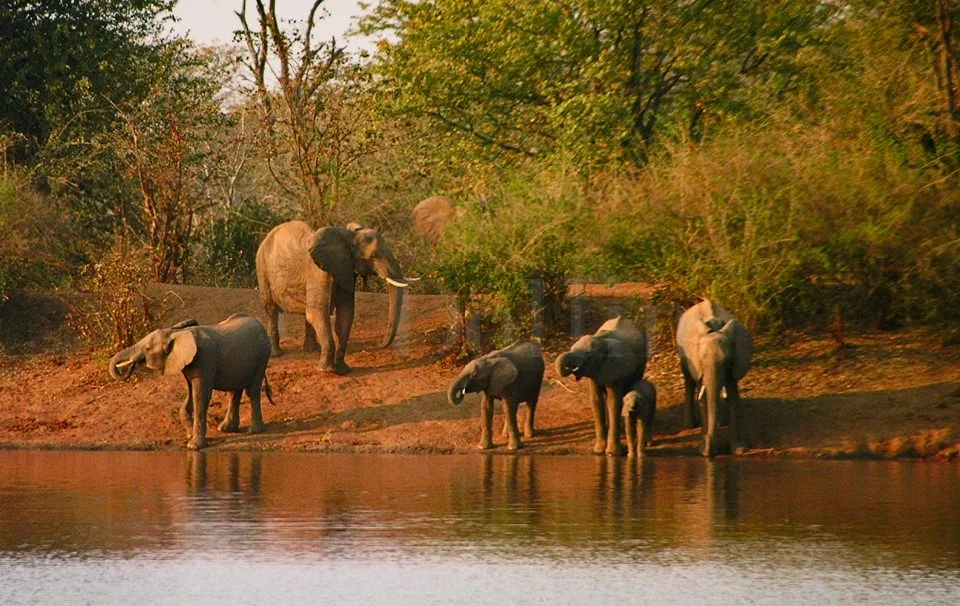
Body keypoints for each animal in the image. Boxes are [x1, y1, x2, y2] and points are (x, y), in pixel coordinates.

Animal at [108, 313, 274, 450]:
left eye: (148, 348)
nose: (130, 366)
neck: (176, 333)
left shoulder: (204, 359)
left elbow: (200, 396)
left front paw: (194, 446)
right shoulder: (189, 364)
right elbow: (190, 395)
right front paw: (189, 435)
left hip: (262, 355)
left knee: (252, 391)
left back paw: (254, 431)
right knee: (234, 392)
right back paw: (225, 429)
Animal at [256, 220, 414, 374]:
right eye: (374, 256)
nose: (379, 344)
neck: (349, 237)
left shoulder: (346, 269)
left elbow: (346, 312)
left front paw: (343, 370)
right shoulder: (318, 273)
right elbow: (318, 312)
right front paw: (327, 370)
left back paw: (312, 350)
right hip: (262, 268)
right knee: (272, 309)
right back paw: (277, 354)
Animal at [555, 316, 648, 456]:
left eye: (589, 356)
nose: (571, 368)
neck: (601, 340)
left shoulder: (616, 367)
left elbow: (613, 402)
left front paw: (612, 453)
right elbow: (596, 401)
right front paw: (598, 452)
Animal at [676, 299, 753, 457]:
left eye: (727, 362)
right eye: (701, 361)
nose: (708, 450)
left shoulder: (735, 361)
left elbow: (733, 397)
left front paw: (739, 449)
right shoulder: (697, 364)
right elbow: (703, 398)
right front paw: (704, 451)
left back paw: (722, 422)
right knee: (689, 380)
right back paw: (691, 425)